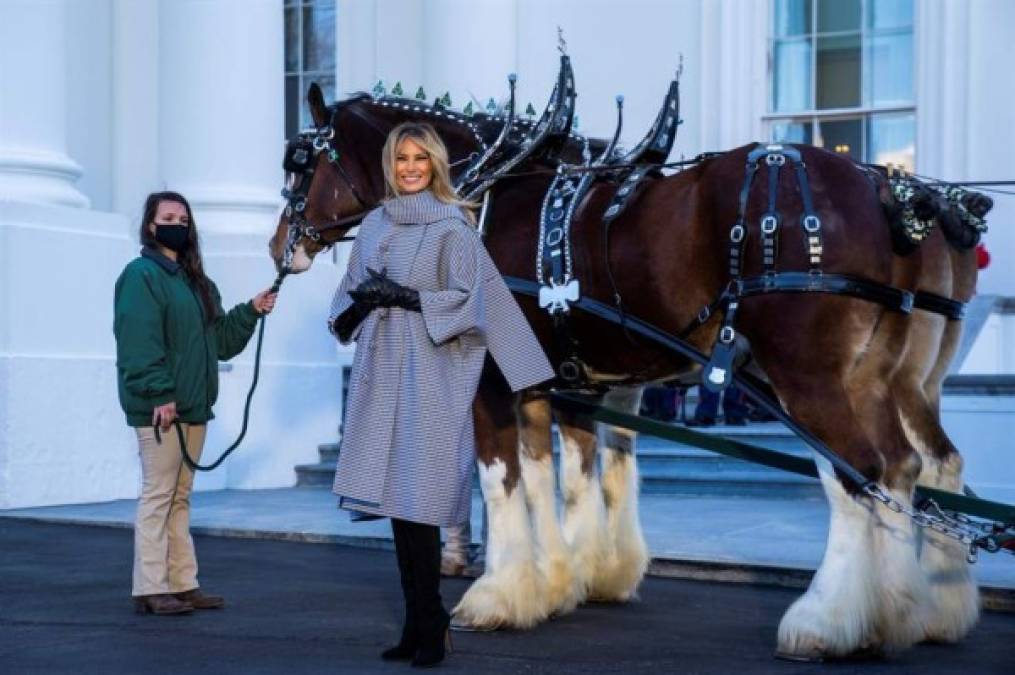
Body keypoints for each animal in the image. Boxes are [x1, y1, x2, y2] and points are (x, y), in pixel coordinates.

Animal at [269, 84, 982, 657]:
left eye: (299, 162)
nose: (280, 245)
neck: (480, 196)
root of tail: (891, 191)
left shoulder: (495, 381)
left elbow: (504, 481)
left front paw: (497, 595)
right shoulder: (569, 385)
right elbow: (567, 477)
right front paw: (567, 580)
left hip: (808, 376)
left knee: (856, 475)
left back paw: (827, 622)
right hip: (892, 379)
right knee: (917, 465)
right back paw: (918, 611)